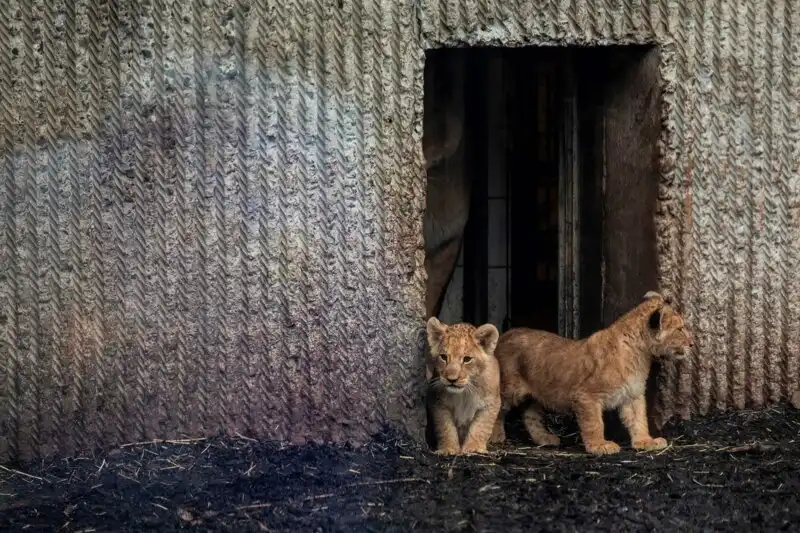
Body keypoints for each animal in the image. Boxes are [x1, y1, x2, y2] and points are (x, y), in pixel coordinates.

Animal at [426, 317, 501, 455]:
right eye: (443, 357)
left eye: (467, 359)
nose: (452, 379)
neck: (464, 393)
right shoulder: (437, 401)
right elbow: (445, 427)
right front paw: (449, 449)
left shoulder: (491, 403)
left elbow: (481, 427)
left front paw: (474, 448)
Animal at [490, 291, 693, 455]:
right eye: (680, 329)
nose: (691, 344)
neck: (641, 354)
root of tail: (506, 334)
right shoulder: (585, 396)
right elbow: (594, 423)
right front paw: (599, 446)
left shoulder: (632, 395)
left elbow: (639, 420)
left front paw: (645, 441)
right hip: (510, 389)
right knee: (497, 407)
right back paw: (495, 436)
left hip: (536, 394)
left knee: (529, 415)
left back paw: (545, 439)